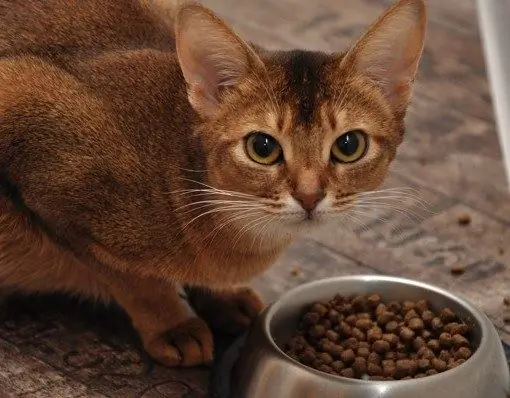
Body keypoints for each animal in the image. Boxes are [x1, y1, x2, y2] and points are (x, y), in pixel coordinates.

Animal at [0, 0, 426, 366]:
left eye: (349, 145)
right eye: (262, 147)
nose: (309, 196)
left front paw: (223, 298)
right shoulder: (31, 122)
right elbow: (133, 280)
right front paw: (174, 325)